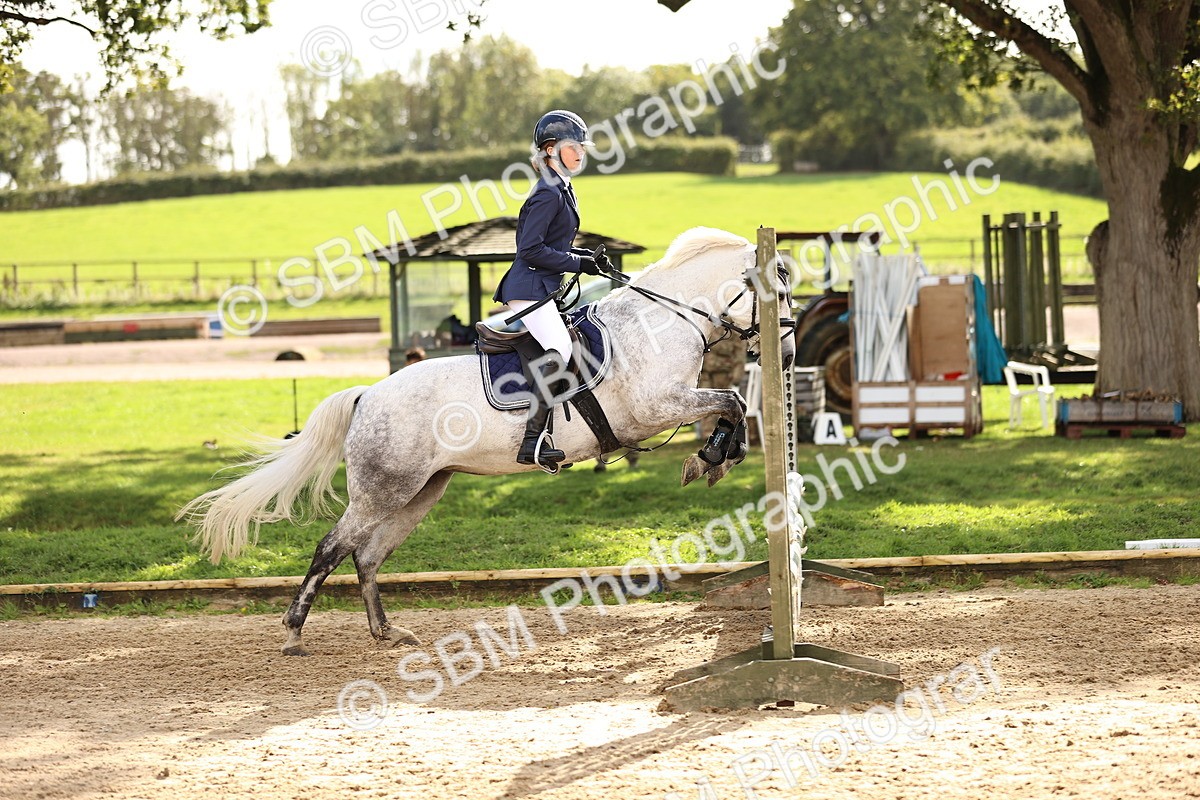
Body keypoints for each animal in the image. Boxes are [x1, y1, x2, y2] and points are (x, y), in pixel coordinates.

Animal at [177, 227, 795, 655]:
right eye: (781, 291)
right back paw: (294, 633)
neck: (663, 321)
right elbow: (731, 401)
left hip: (420, 491)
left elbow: (731, 405)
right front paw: (710, 458)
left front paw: (718, 456)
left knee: (368, 555)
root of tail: (368, 395)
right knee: (331, 548)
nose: (787, 354)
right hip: (381, 492)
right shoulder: (654, 408)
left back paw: (386, 632)